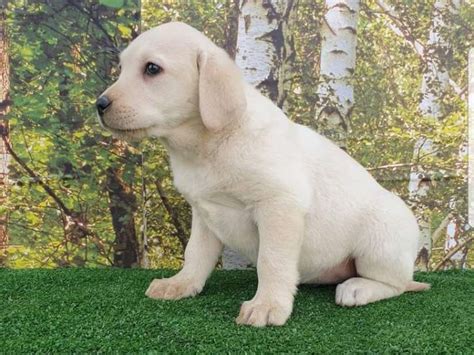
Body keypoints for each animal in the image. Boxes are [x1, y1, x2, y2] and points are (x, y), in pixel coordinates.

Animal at [96, 21, 430, 328]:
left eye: (152, 69)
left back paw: (358, 288)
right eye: (123, 68)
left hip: (380, 241)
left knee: (396, 284)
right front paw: (181, 284)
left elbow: (272, 260)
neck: (209, 144)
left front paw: (268, 305)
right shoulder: (204, 214)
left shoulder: (279, 206)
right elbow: (195, 254)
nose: (99, 104)